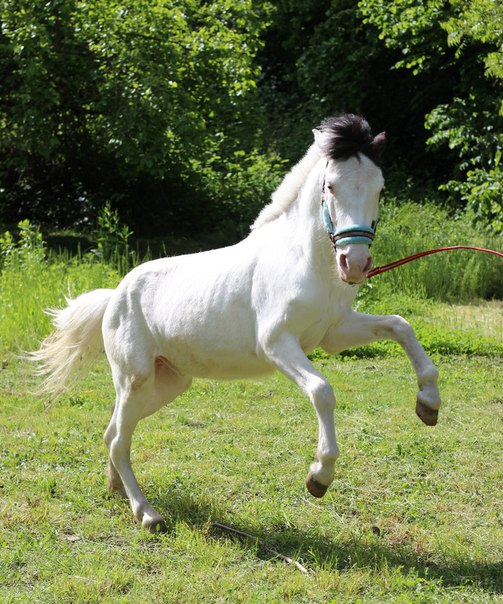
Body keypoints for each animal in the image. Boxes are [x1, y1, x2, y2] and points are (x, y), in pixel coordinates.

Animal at [32, 114, 441, 533]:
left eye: (380, 188)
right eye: (331, 185)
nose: (355, 264)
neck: (306, 262)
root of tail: (115, 293)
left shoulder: (334, 333)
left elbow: (400, 325)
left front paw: (428, 405)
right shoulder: (278, 343)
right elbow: (322, 391)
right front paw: (319, 477)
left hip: (167, 383)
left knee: (114, 433)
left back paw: (117, 490)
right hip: (136, 379)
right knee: (117, 439)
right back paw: (146, 513)